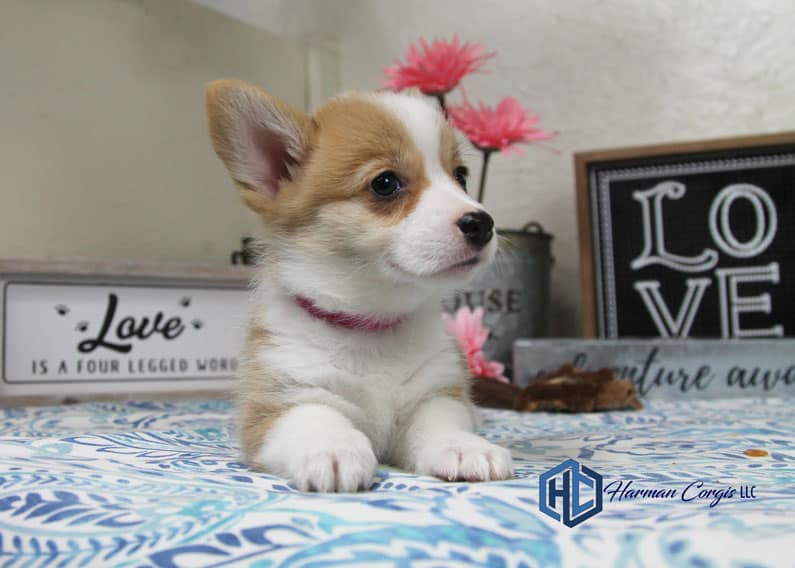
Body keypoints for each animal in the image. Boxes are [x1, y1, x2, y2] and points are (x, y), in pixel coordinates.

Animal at [207, 77, 516, 490]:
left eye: (461, 176)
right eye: (385, 183)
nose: (482, 222)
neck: (371, 327)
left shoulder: (435, 394)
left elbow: (439, 423)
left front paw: (463, 447)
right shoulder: (278, 403)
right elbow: (316, 416)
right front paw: (332, 448)